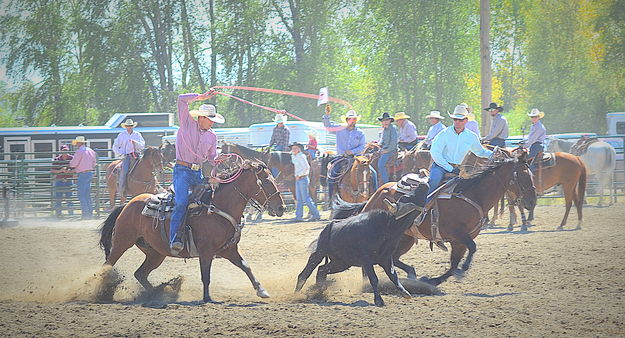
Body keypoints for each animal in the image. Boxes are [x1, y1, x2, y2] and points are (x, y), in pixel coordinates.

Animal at [99, 160, 286, 302]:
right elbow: (206, 275)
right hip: (122, 242)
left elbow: (246, 266)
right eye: (266, 182)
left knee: (140, 274)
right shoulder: (206, 251)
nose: (281, 208)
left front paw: (261, 290)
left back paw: (158, 293)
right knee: (107, 265)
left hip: (155, 253)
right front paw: (207, 298)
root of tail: (127, 205)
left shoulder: (229, 249)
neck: (217, 207)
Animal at [330, 149, 532, 284]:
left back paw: (411, 273)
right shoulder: (458, 234)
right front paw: (463, 269)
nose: (531, 201)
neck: (473, 195)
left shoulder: (458, 242)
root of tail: (376, 193)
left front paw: (434, 280)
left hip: (404, 238)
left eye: (530, 173)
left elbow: (454, 264)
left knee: (391, 257)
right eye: (522, 175)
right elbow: (471, 249)